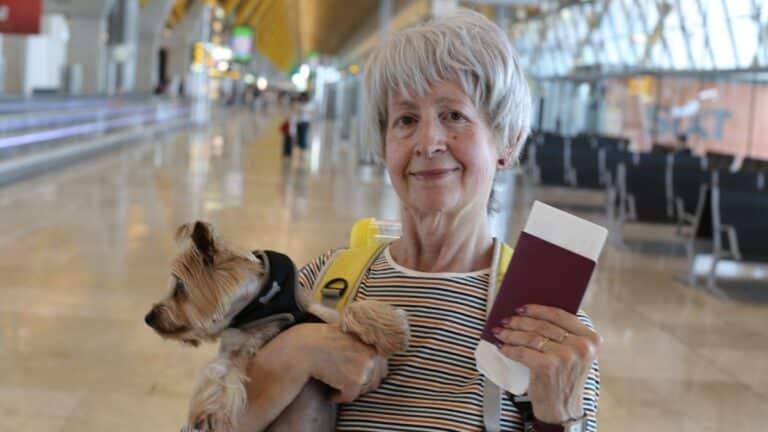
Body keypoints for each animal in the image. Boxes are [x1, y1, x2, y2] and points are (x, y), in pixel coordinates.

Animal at [145, 223, 408, 432]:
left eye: (180, 286)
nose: (149, 317)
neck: (262, 305)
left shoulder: (315, 312)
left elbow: (347, 311)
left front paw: (391, 329)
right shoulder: (233, 348)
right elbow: (220, 370)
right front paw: (209, 414)